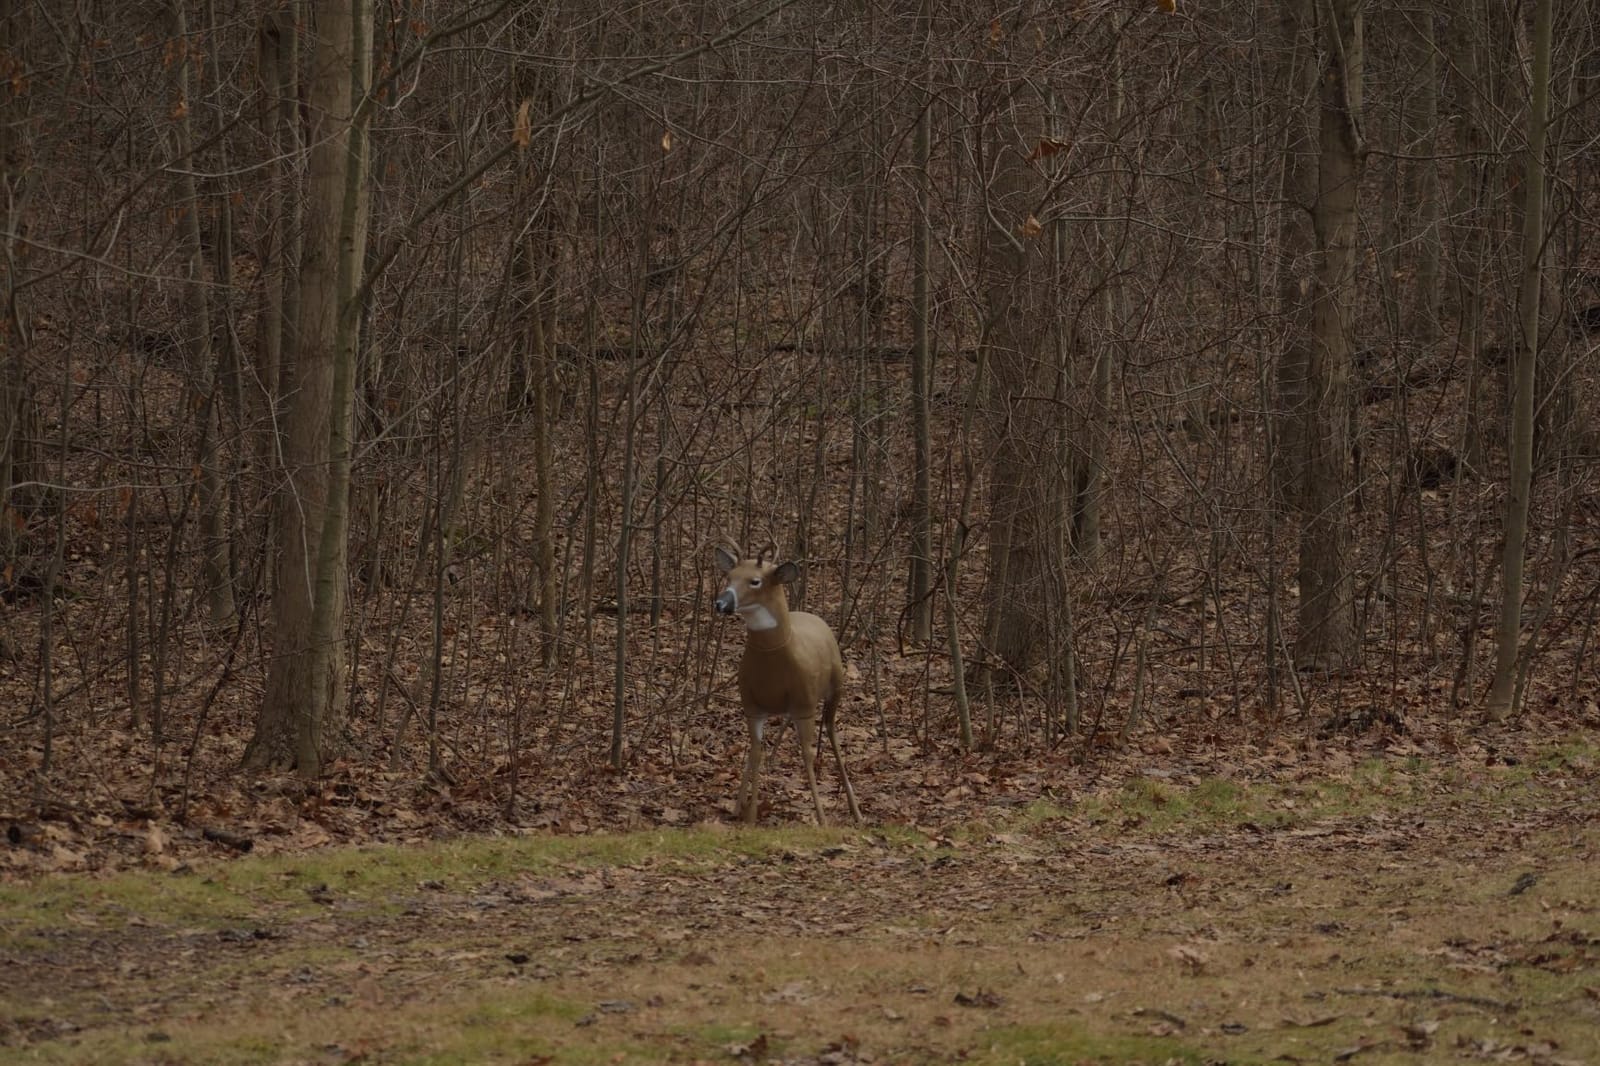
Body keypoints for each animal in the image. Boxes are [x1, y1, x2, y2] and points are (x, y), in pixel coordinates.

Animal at [712, 545, 862, 826]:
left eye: (755, 581)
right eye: (729, 577)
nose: (721, 603)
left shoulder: (805, 705)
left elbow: (806, 755)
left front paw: (822, 818)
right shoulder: (751, 705)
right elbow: (756, 752)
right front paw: (750, 816)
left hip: (835, 688)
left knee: (832, 732)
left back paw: (856, 810)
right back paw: (737, 806)